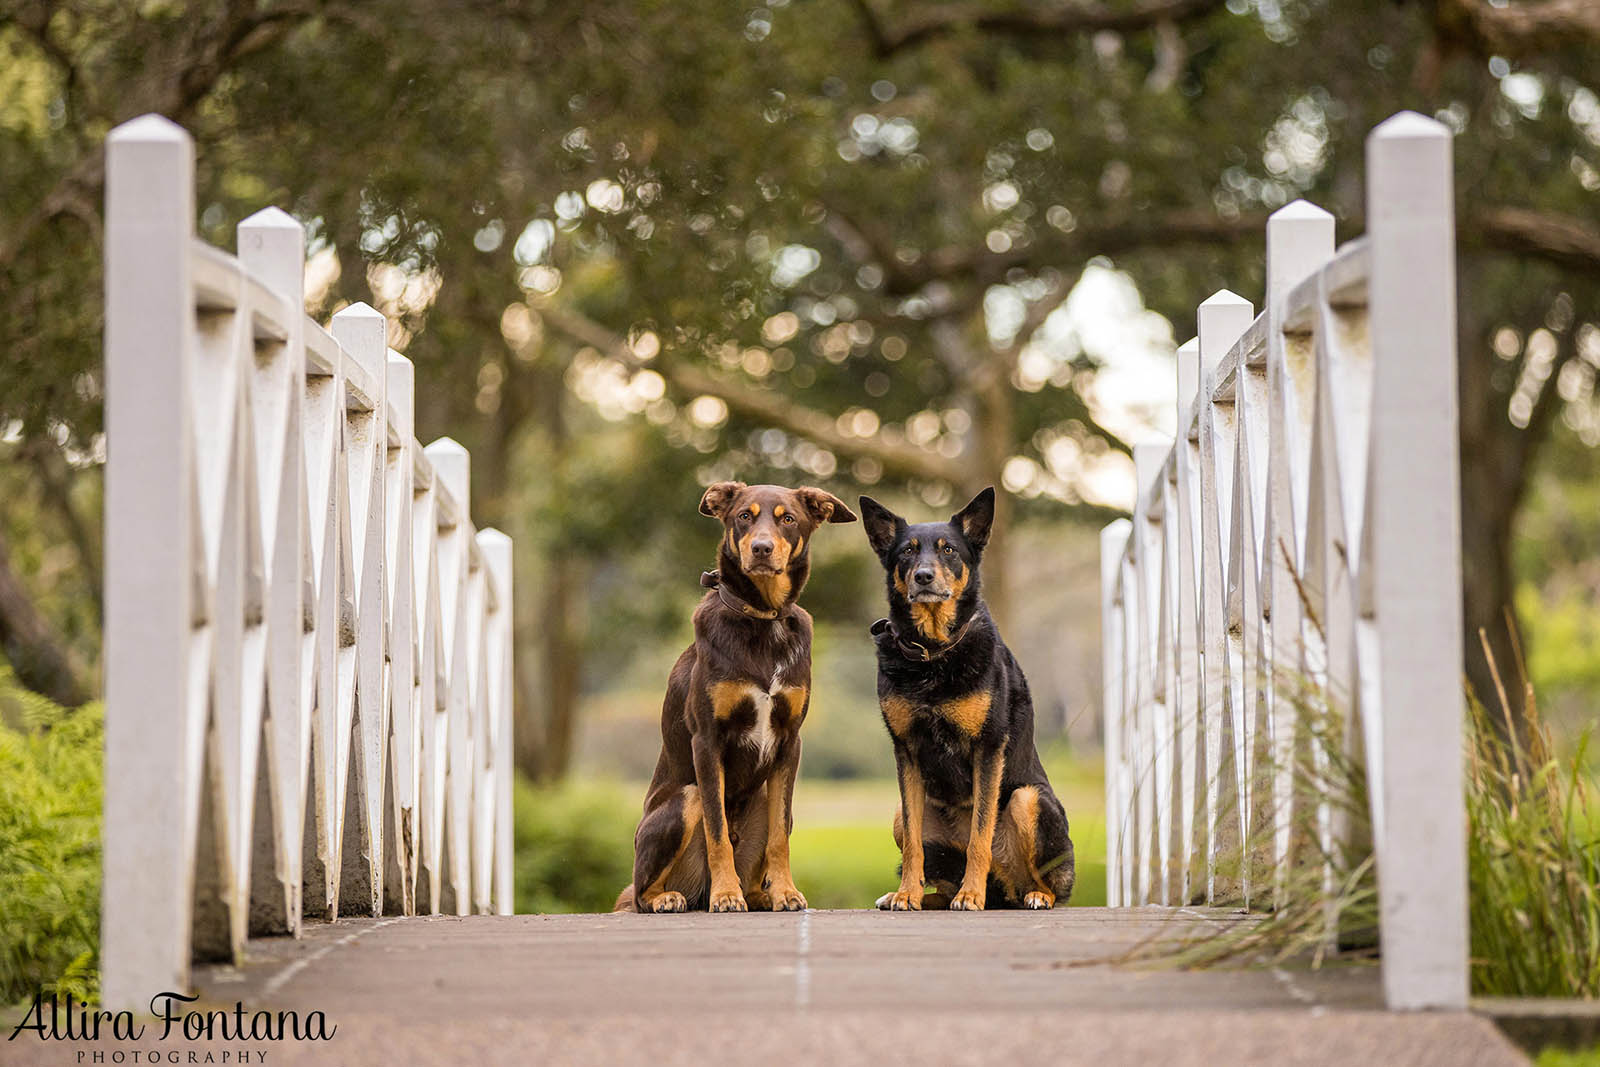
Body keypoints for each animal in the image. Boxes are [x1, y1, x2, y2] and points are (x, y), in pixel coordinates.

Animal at [614, 483, 864, 908]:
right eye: (744, 516)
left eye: (788, 519)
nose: (762, 548)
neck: (761, 618)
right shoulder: (707, 742)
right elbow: (717, 833)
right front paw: (727, 894)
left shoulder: (789, 742)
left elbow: (779, 836)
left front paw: (785, 891)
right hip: (684, 800)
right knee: (641, 890)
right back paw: (673, 897)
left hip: (762, 797)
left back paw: (760, 895)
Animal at [864, 489, 1075, 915]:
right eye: (907, 552)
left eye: (948, 550)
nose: (923, 576)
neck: (933, 653)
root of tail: (1004, 893)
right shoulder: (907, 752)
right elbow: (914, 846)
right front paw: (907, 894)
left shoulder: (987, 749)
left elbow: (980, 835)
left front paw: (970, 896)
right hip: (900, 813)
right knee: (937, 873)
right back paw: (915, 895)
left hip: (1028, 799)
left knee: (1047, 884)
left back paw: (1032, 895)